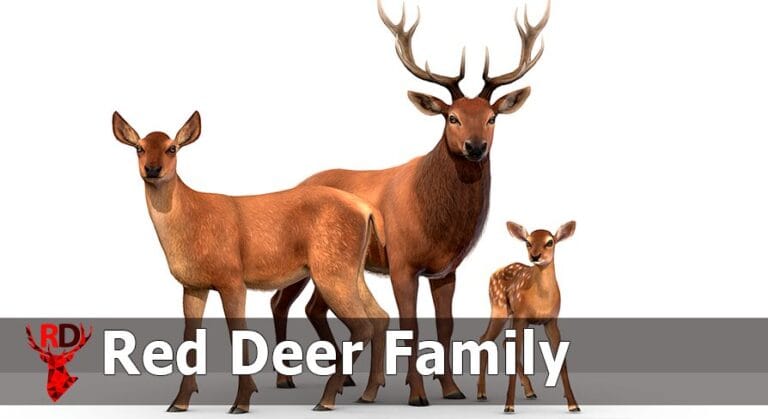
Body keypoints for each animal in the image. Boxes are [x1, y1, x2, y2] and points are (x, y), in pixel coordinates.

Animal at [111, 111, 389, 413]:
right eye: (139, 147)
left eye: (171, 147)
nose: (152, 169)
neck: (191, 221)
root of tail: (367, 210)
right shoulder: (193, 286)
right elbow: (190, 338)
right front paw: (179, 402)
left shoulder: (232, 279)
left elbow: (239, 334)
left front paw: (242, 401)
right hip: (351, 271)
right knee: (380, 316)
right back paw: (367, 393)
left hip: (331, 271)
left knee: (362, 325)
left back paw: (326, 398)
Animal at [269, 0, 551, 406]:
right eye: (452, 117)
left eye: (492, 117)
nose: (475, 147)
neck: (437, 223)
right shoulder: (402, 262)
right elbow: (409, 325)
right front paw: (416, 393)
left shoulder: (447, 269)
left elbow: (446, 327)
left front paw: (451, 388)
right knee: (280, 302)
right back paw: (285, 378)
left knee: (312, 307)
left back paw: (345, 378)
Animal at [476, 221, 579, 413]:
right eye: (528, 242)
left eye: (550, 242)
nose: (535, 256)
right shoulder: (522, 317)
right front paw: (509, 406)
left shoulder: (551, 321)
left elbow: (560, 358)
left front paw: (573, 404)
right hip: (499, 308)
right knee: (485, 339)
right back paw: (481, 393)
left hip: (513, 316)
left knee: (503, 342)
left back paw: (530, 391)